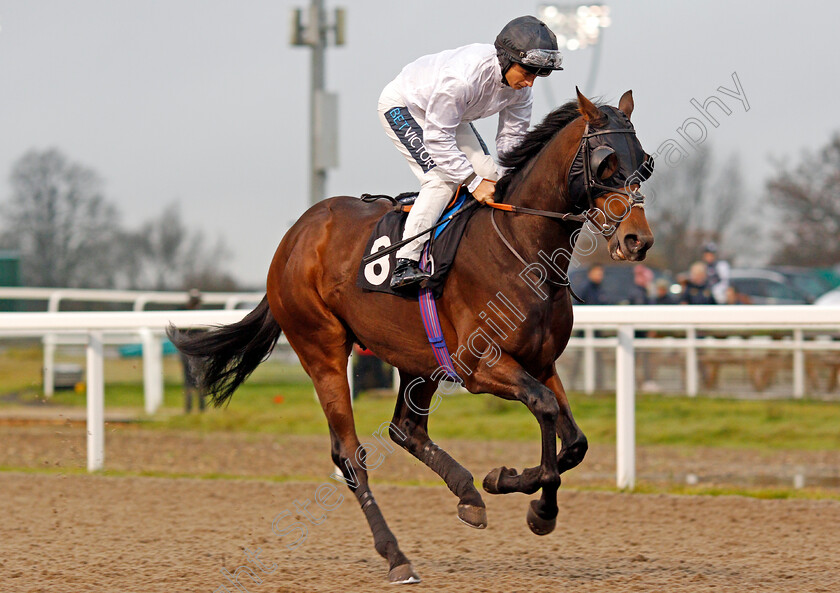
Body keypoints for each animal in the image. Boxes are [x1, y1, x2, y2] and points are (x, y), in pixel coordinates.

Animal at [169, 88, 656, 584]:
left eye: (645, 162)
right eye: (606, 163)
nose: (638, 241)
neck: (521, 248)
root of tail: (293, 238)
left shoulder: (541, 362)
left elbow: (573, 440)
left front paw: (506, 484)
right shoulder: (481, 366)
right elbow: (544, 409)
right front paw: (533, 504)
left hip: (415, 358)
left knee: (406, 429)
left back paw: (468, 494)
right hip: (321, 349)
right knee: (350, 455)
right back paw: (396, 555)